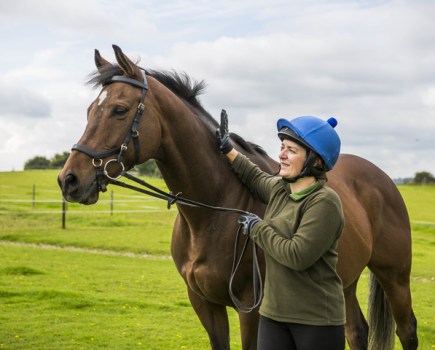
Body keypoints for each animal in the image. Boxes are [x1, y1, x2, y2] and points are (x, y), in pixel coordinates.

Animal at [58, 45, 418, 348]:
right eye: (90, 110)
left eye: (119, 110)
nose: (69, 180)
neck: (214, 211)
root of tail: (383, 179)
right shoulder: (205, 304)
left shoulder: (252, 309)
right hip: (344, 281)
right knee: (357, 331)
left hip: (395, 276)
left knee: (407, 330)